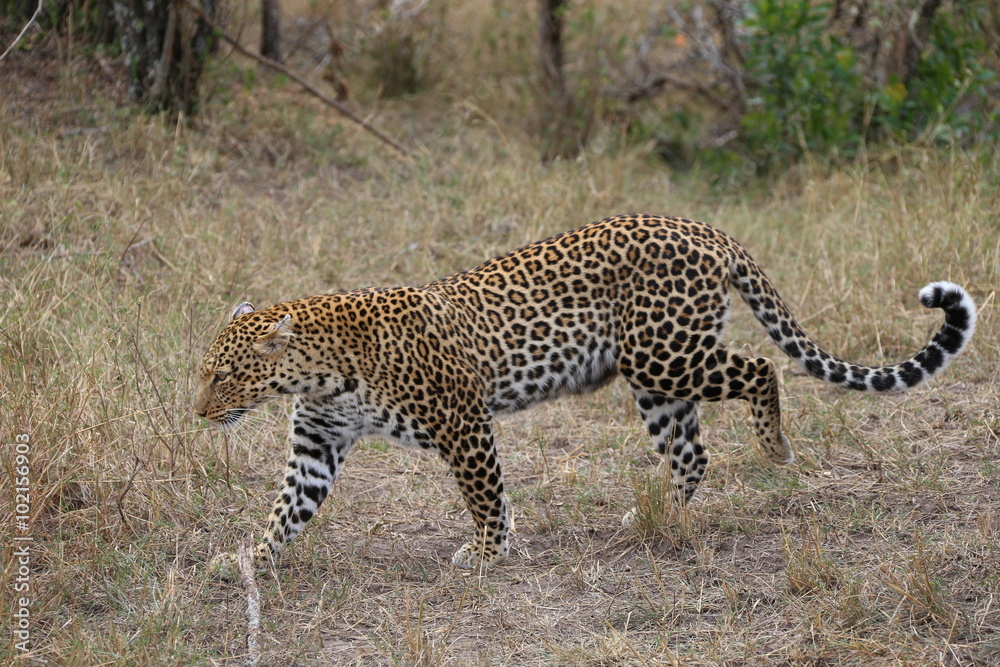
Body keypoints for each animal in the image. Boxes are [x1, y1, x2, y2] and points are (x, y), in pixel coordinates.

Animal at [194, 214, 977, 572]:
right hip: (655, 380)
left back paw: (775, 446)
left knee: (762, 369)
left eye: (225, 375)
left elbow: (485, 493)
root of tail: (707, 228)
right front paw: (248, 560)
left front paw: (487, 553)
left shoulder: (462, 421)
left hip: (666, 354)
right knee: (691, 453)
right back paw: (653, 517)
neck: (321, 368)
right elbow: (286, 510)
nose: (199, 412)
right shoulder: (317, 444)